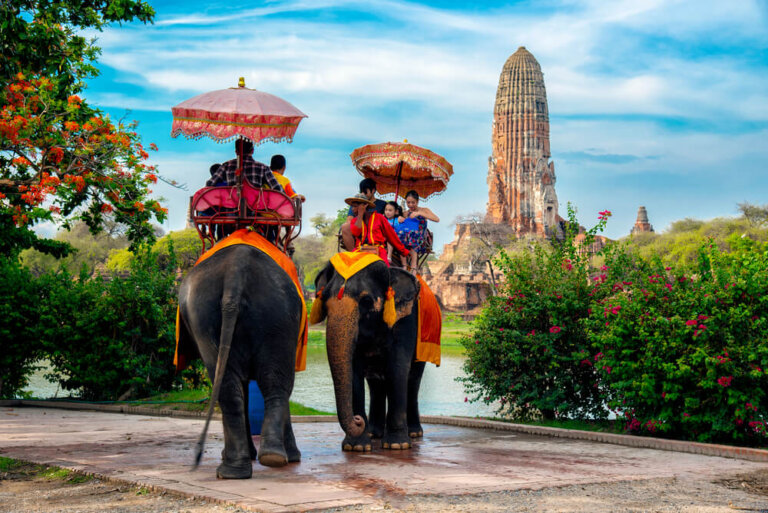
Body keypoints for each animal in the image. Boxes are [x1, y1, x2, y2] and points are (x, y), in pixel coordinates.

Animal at [178, 244, 303, 479]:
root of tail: (236, 271)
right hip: (275, 313)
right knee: (271, 383)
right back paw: (262, 461)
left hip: (210, 316)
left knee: (234, 385)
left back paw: (239, 468)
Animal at [311, 259, 425, 452]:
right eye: (324, 299)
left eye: (366, 300)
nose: (357, 420)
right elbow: (353, 372)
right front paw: (356, 447)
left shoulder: (406, 320)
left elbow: (397, 369)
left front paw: (397, 445)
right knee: (376, 383)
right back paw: (374, 434)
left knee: (413, 379)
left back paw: (414, 434)